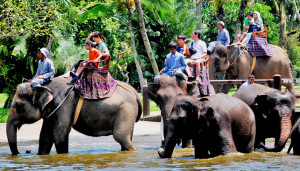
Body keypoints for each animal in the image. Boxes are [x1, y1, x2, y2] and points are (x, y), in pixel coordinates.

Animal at [6, 76, 142, 155]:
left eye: (18, 106)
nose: (22, 153)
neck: (45, 85)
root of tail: (135, 92)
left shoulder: (63, 104)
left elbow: (59, 133)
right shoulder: (52, 110)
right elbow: (45, 136)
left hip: (126, 111)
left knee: (120, 137)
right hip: (128, 114)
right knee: (126, 138)